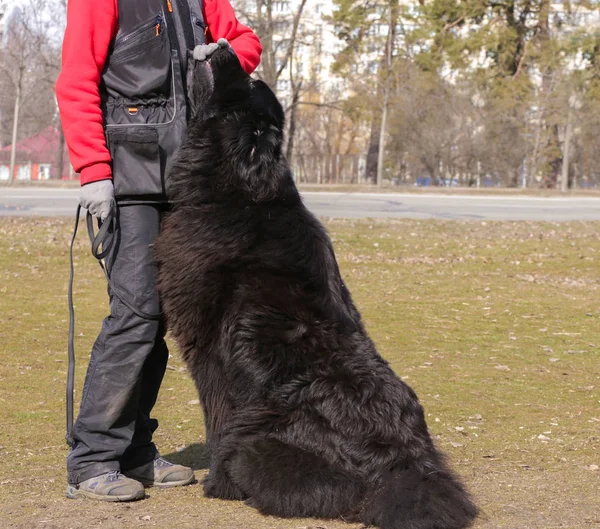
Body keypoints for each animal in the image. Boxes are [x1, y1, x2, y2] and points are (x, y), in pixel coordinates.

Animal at [155, 38, 478, 528]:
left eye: (245, 83)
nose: (226, 42)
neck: (239, 195)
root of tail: (405, 466)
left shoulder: (208, 350)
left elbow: (218, 418)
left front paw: (217, 485)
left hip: (260, 448)